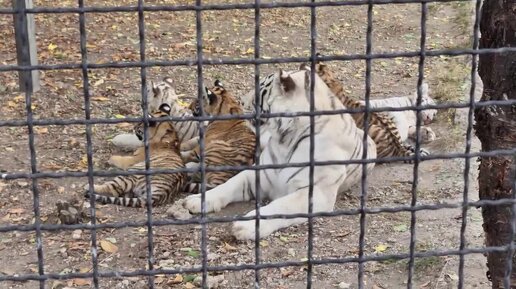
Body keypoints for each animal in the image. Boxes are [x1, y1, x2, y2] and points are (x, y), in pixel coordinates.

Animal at [171, 67, 376, 238]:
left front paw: (246, 227)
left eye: (259, 90)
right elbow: (228, 185)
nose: (240, 101)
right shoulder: (257, 173)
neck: (286, 139)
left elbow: (280, 205)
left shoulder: (315, 194)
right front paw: (197, 200)